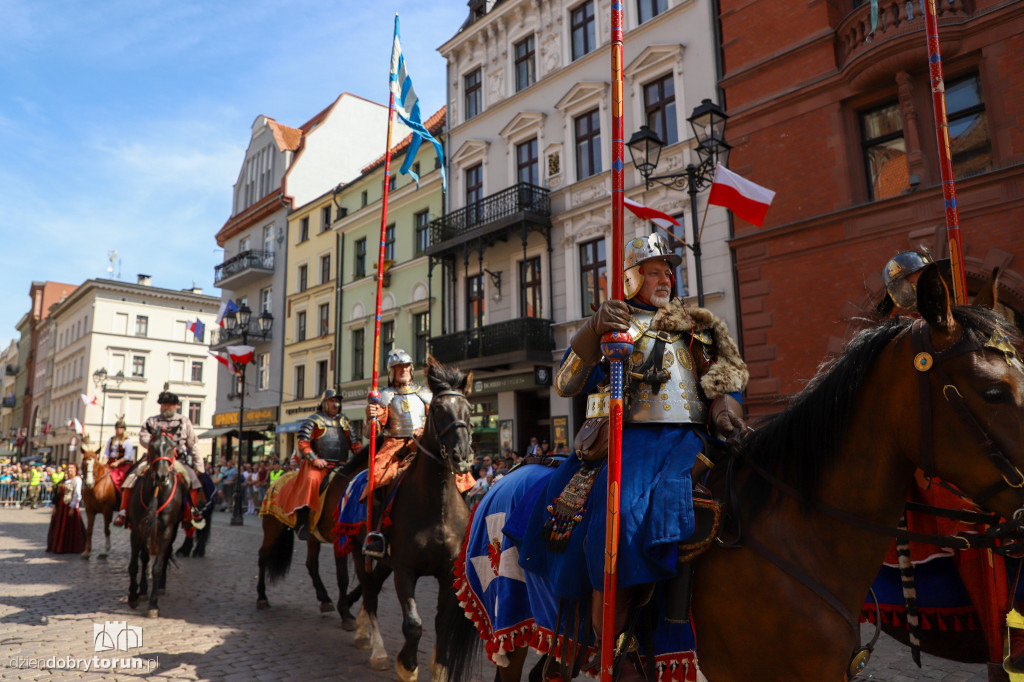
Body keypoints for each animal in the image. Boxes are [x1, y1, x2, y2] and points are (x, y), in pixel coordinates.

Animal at [127, 430, 188, 614]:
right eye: (152, 448)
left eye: (171, 447)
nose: (162, 476)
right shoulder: (137, 530)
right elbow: (134, 564)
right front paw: (133, 596)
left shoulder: (166, 531)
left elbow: (157, 567)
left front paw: (153, 604)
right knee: (145, 558)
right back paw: (142, 590)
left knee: (163, 556)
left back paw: (159, 587)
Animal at [348, 358, 479, 675]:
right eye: (439, 410)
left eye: (469, 410)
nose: (462, 457)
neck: (436, 508)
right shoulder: (405, 569)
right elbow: (414, 624)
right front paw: (407, 666)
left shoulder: (447, 573)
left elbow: (441, 623)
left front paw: (439, 666)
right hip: (362, 554)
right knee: (369, 594)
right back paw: (377, 651)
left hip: (385, 564)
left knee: (371, 591)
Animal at [444, 266, 1024, 679]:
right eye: (993, 391)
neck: (797, 537)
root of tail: (506, 477)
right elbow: (572, 374)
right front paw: (602, 319)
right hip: (511, 627)